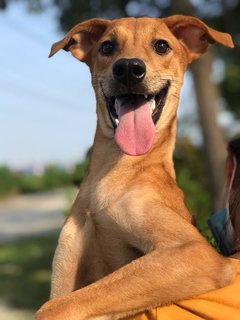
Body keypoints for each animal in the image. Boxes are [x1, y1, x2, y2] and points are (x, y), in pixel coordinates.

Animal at [35, 15, 234, 320]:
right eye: (107, 46)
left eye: (161, 45)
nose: (129, 68)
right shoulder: (63, 274)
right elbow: (62, 299)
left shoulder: (192, 251)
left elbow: (58, 306)